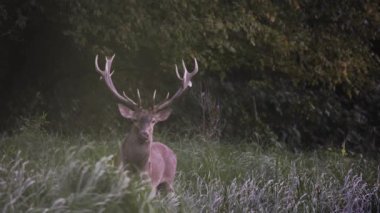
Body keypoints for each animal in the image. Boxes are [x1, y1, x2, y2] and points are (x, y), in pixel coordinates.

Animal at [95, 54, 199, 196]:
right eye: (134, 119)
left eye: (154, 121)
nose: (145, 134)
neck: (135, 171)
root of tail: (172, 152)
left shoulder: (150, 188)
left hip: (170, 179)